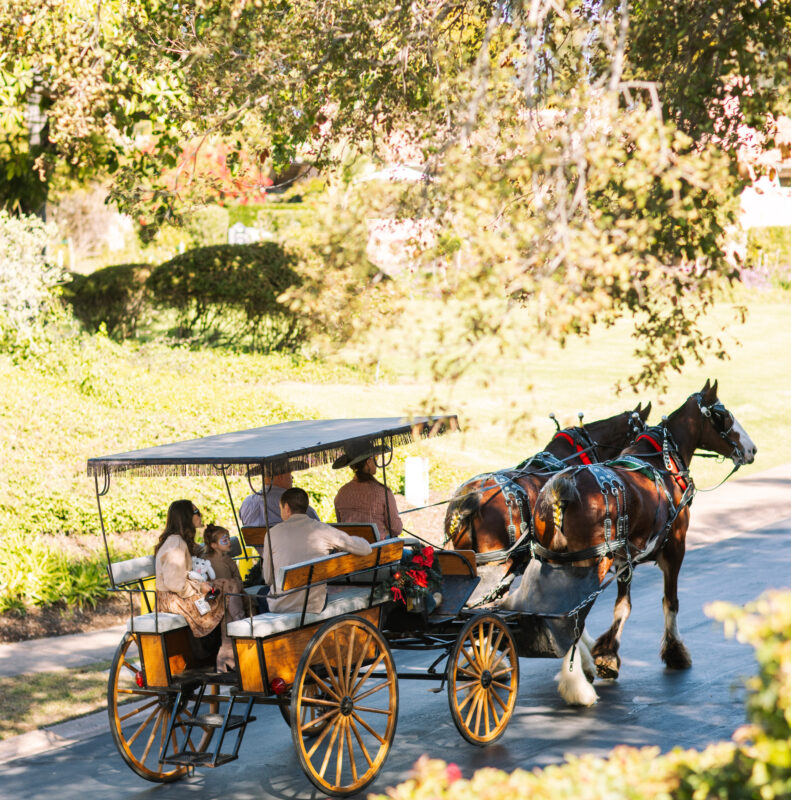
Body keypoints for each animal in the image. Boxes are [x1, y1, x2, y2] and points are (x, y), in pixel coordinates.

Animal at [536, 382, 756, 708]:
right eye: (722, 415)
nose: (752, 449)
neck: (659, 461)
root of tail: (560, 491)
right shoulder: (675, 547)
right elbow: (670, 602)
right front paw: (675, 652)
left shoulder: (624, 559)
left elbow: (622, 606)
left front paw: (607, 654)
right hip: (589, 565)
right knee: (573, 616)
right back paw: (578, 684)